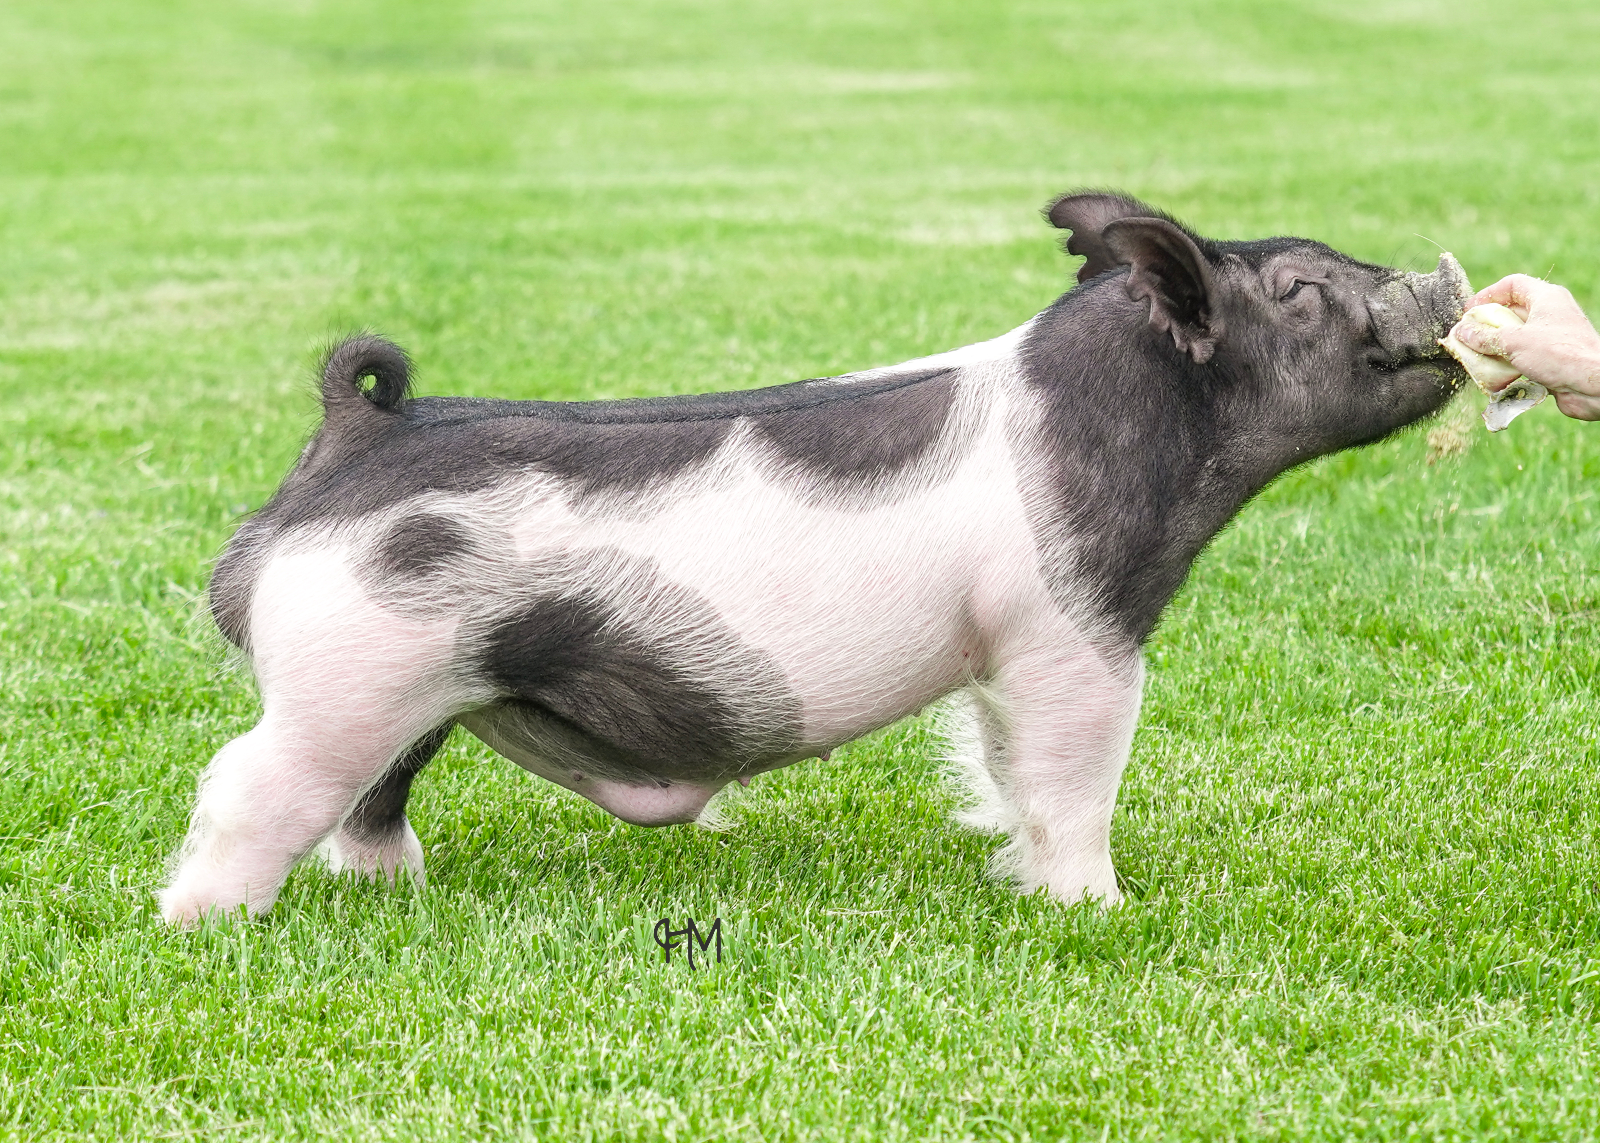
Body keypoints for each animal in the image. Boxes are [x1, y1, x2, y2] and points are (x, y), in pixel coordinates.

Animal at [159, 191, 1471, 923]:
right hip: (348, 672)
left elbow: (1003, 766)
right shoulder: (1069, 628)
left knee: (371, 799)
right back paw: (206, 926)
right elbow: (1074, 774)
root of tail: (354, 432)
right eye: (1299, 290)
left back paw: (392, 892)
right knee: (245, 784)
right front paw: (1100, 911)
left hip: (414, 685)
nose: (1443, 279)